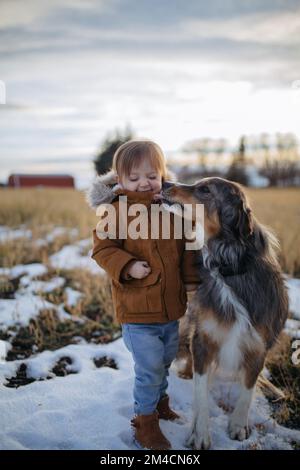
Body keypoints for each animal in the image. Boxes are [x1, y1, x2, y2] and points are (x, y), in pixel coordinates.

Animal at [161, 178, 290, 450]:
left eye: (205, 190)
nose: (165, 182)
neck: (229, 266)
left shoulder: (258, 346)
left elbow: (248, 388)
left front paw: (238, 425)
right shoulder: (202, 339)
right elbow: (200, 393)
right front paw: (199, 433)